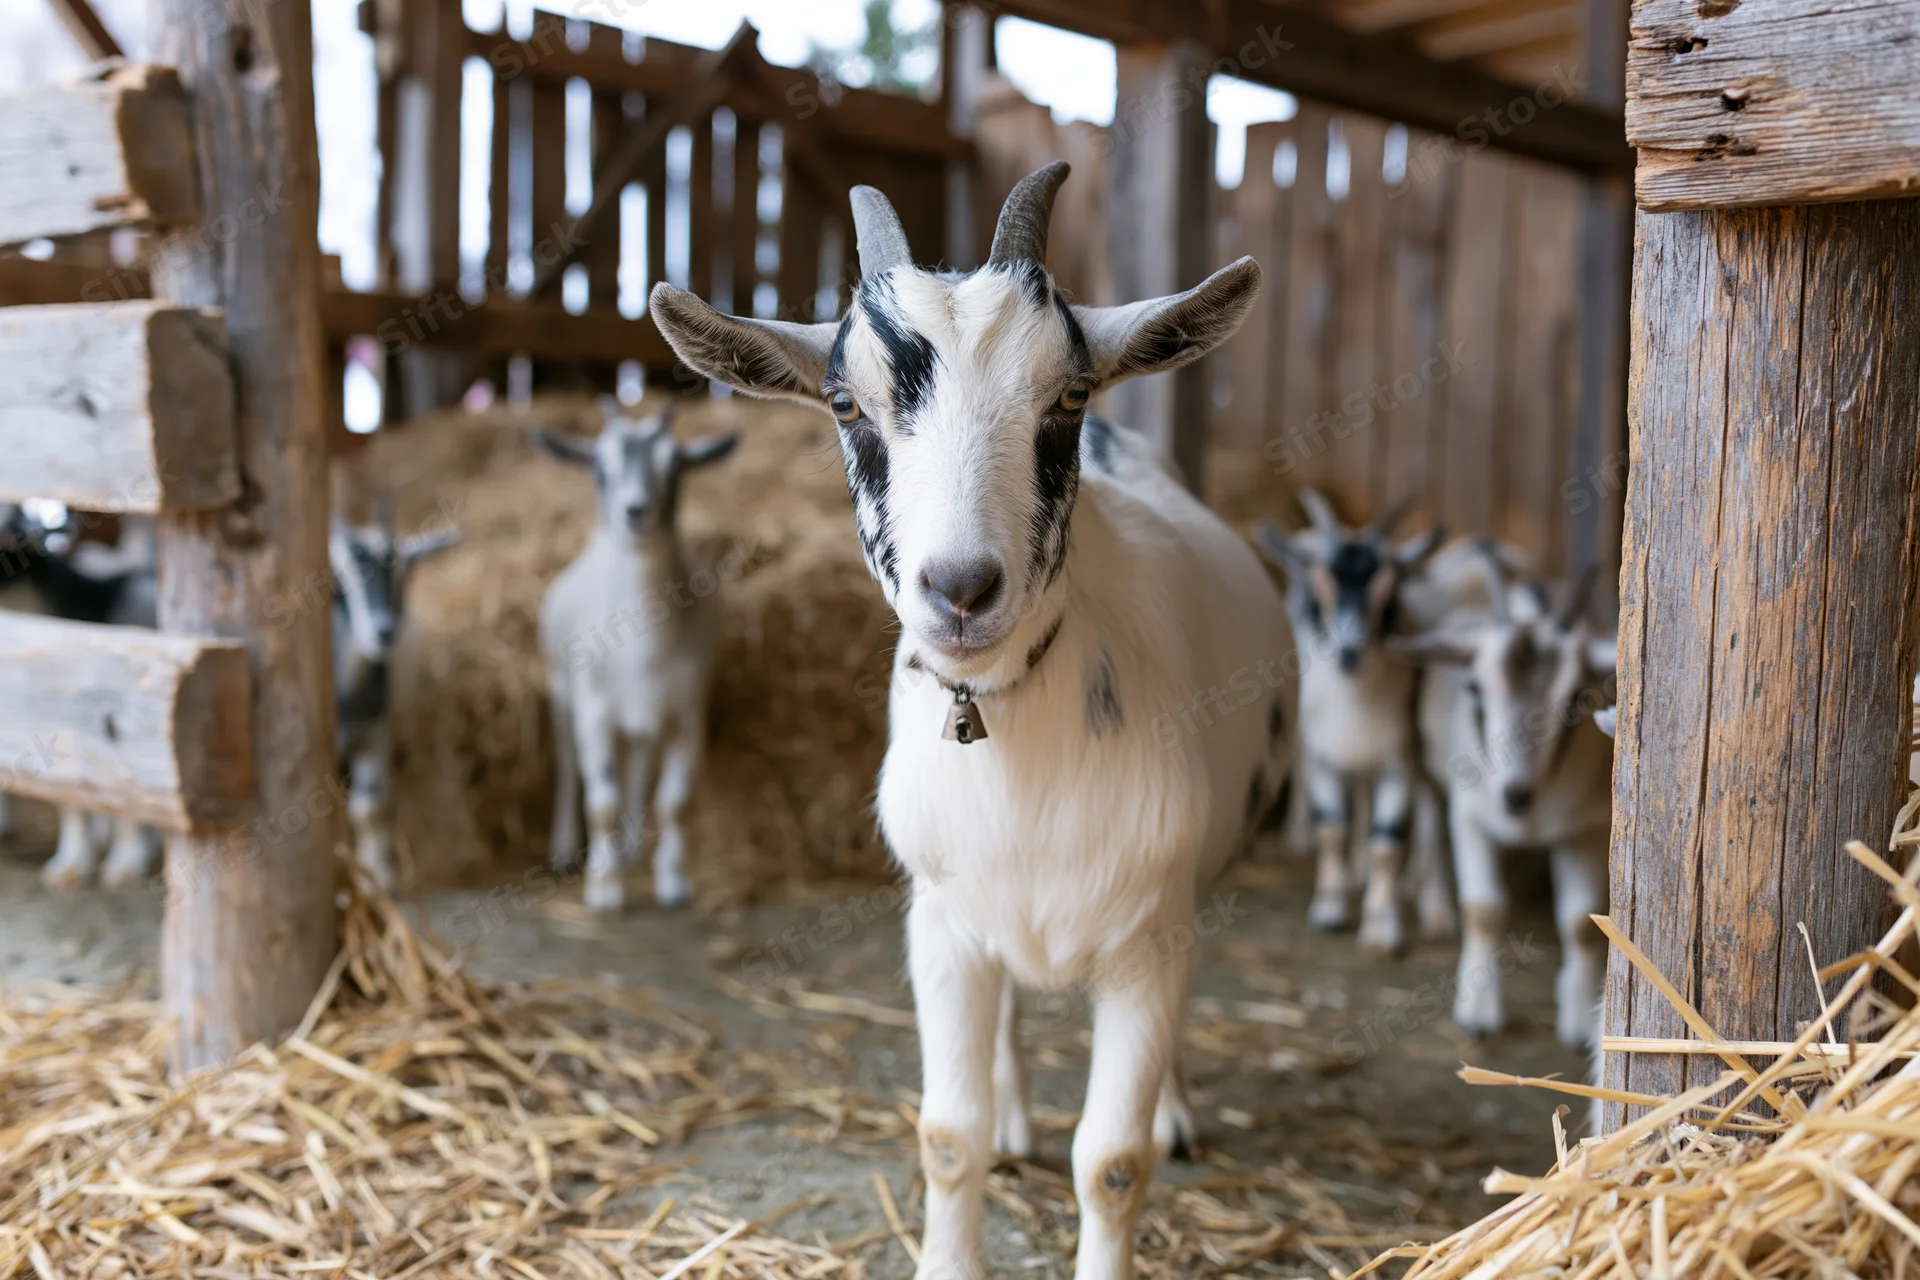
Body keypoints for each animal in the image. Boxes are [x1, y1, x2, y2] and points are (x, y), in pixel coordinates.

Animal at [331, 503, 461, 891]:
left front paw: (378, 879)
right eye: (341, 580)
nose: (384, 632)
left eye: (402, 576)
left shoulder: (376, 733)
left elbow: (368, 809)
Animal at [535, 403, 739, 913]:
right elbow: (601, 799)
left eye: (677, 467)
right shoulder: (593, 712)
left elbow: (673, 802)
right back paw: (565, 850)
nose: (635, 512)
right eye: (598, 468)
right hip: (560, 690)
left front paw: (674, 881)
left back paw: (630, 850)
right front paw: (605, 889)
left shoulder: (687, 714)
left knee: (640, 762)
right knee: (567, 761)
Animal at [650, 163, 1291, 1280]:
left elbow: (1112, 1160)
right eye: (845, 401)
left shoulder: (1148, 935)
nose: (958, 588)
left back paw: (1173, 1110)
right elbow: (949, 1132)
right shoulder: (943, 924)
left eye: (1069, 395)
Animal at [1255, 490, 1446, 952]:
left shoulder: (1398, 761)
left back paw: (1435, 911)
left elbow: (1387, 842)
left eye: (1389, 596)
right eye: (1319, 590)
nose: (1349, 650)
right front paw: (1329, 908)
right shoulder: (1322, 755)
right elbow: (1331, 829)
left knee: (1429, 816)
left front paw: (1383, 928)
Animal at [1392, 550, 1616, 1048]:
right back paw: (1434, 906)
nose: (1515, 795)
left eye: (1579, 698)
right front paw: (1477, 1013)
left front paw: (1579, 1019)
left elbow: (1580, 923)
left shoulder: (1588, 830)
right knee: (1430, 819)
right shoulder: (1471, 817)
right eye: (1474, 688)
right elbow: (1483, 909)